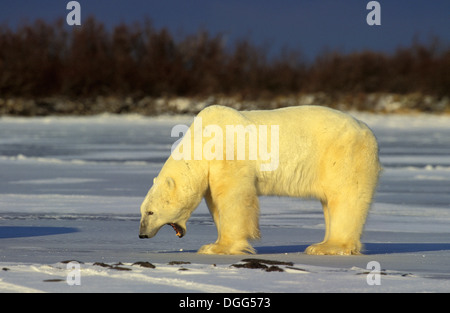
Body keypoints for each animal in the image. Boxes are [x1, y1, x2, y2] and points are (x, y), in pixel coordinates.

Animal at [139, 105, 382, 254]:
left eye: (150, 212)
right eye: (142, 211)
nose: (142, 234)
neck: (201, 140)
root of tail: (368, 131)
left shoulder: (228, 155)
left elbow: (233, 198)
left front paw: (217, 247)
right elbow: (216, 203)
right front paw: (215, 243)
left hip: (342, 155)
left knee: (345, 197)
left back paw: (326, 246)